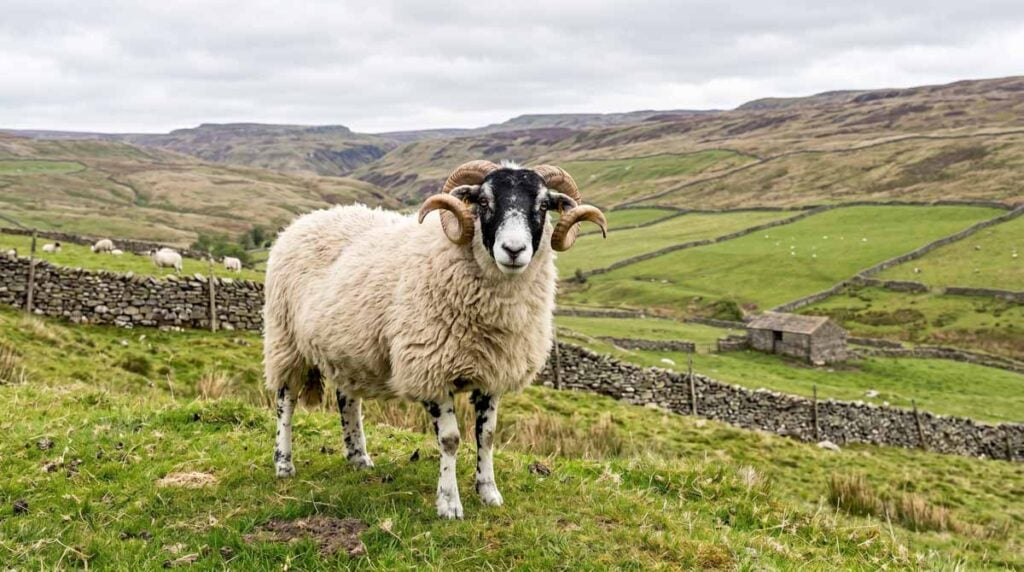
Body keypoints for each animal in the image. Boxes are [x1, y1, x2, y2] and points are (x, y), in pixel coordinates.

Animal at [264, 160, 607, 519]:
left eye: (542, 205)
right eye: (483, 201)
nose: (513, 251)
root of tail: (303, 220)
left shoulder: (493, 374)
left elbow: (487, 436)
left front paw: (489, 492)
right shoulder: (430, 369)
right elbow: (450, 440)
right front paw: (449, 503)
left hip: (348, 349)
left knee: (348, 400)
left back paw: (359, 457)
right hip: (285, 340)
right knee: (285, 400)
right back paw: (284, 464)